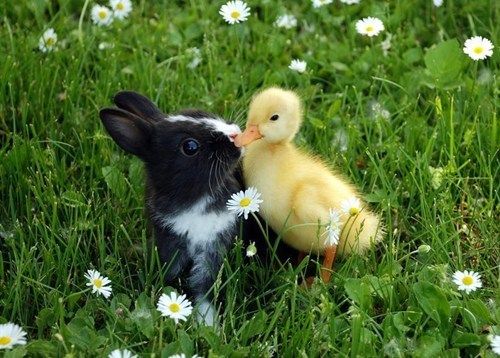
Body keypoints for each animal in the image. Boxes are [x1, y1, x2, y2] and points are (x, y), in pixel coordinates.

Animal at [99, 91, 242, 326]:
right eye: (190, 147)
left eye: (203, 113)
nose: (235, 134)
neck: (196, 199)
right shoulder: (169, 242)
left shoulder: (213, 248)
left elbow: (203, 287)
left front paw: (208, 324)